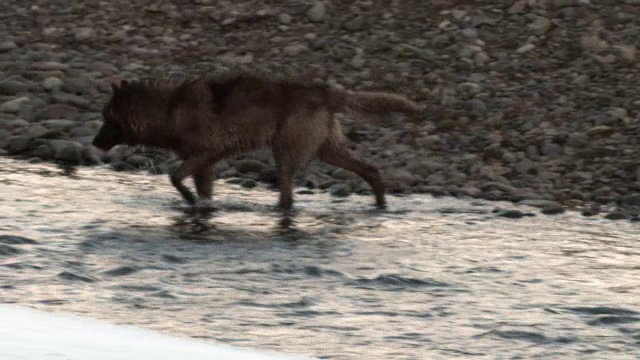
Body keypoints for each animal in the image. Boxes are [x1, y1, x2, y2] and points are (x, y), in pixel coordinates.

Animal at [90, 72, 420, 211]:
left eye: (106, 117)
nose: (94, 143)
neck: (166, 110)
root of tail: (328, 91)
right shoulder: (203, 165)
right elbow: (197, 187)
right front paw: (200, 204)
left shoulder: (208, 154)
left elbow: (174, 176)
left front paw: (190, 200)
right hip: (327, 151)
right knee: (371, 170)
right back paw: (380, 204)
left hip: (285, 153)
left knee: (287, 195)